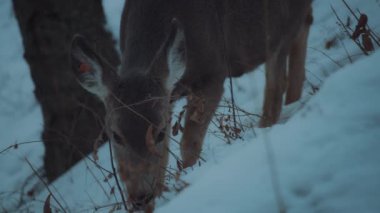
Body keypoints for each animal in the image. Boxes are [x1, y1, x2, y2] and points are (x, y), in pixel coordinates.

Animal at [70, 0, 314, 211]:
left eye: (159, 133)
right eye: (115, 136)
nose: (140, 197)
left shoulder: (213, 73)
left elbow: (189, 143)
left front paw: (185, 183)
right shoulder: (167, 98)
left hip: (275, 23)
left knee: (277, 83)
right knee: (305, 25)